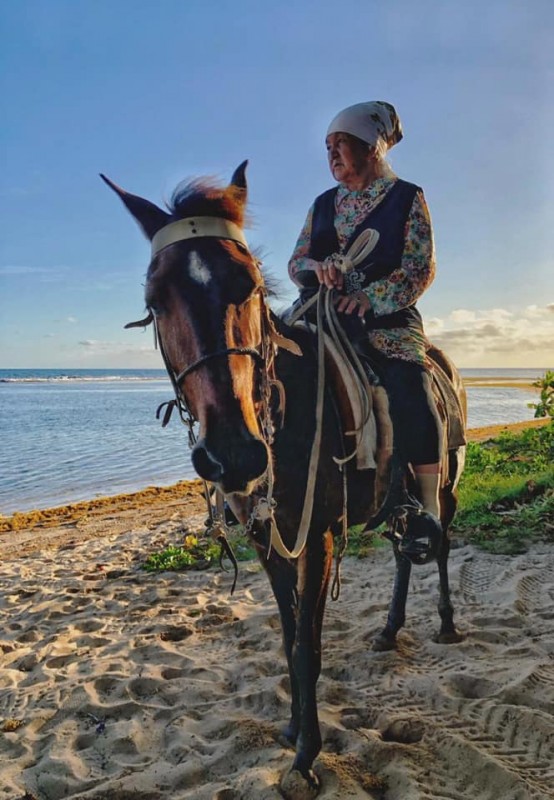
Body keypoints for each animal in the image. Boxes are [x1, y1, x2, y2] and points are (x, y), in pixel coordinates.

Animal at [102, 162, 466, 797]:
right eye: (155, 299)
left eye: (250, 284)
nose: (233, 454)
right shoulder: (266, 538)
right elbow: (288, 630)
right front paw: (295, 729)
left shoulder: (315, 538)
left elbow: (307, 645)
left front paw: (306, 756)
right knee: (403, 553)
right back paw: (389, 629)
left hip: (441, 490)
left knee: (437, 543)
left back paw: (444, 623)